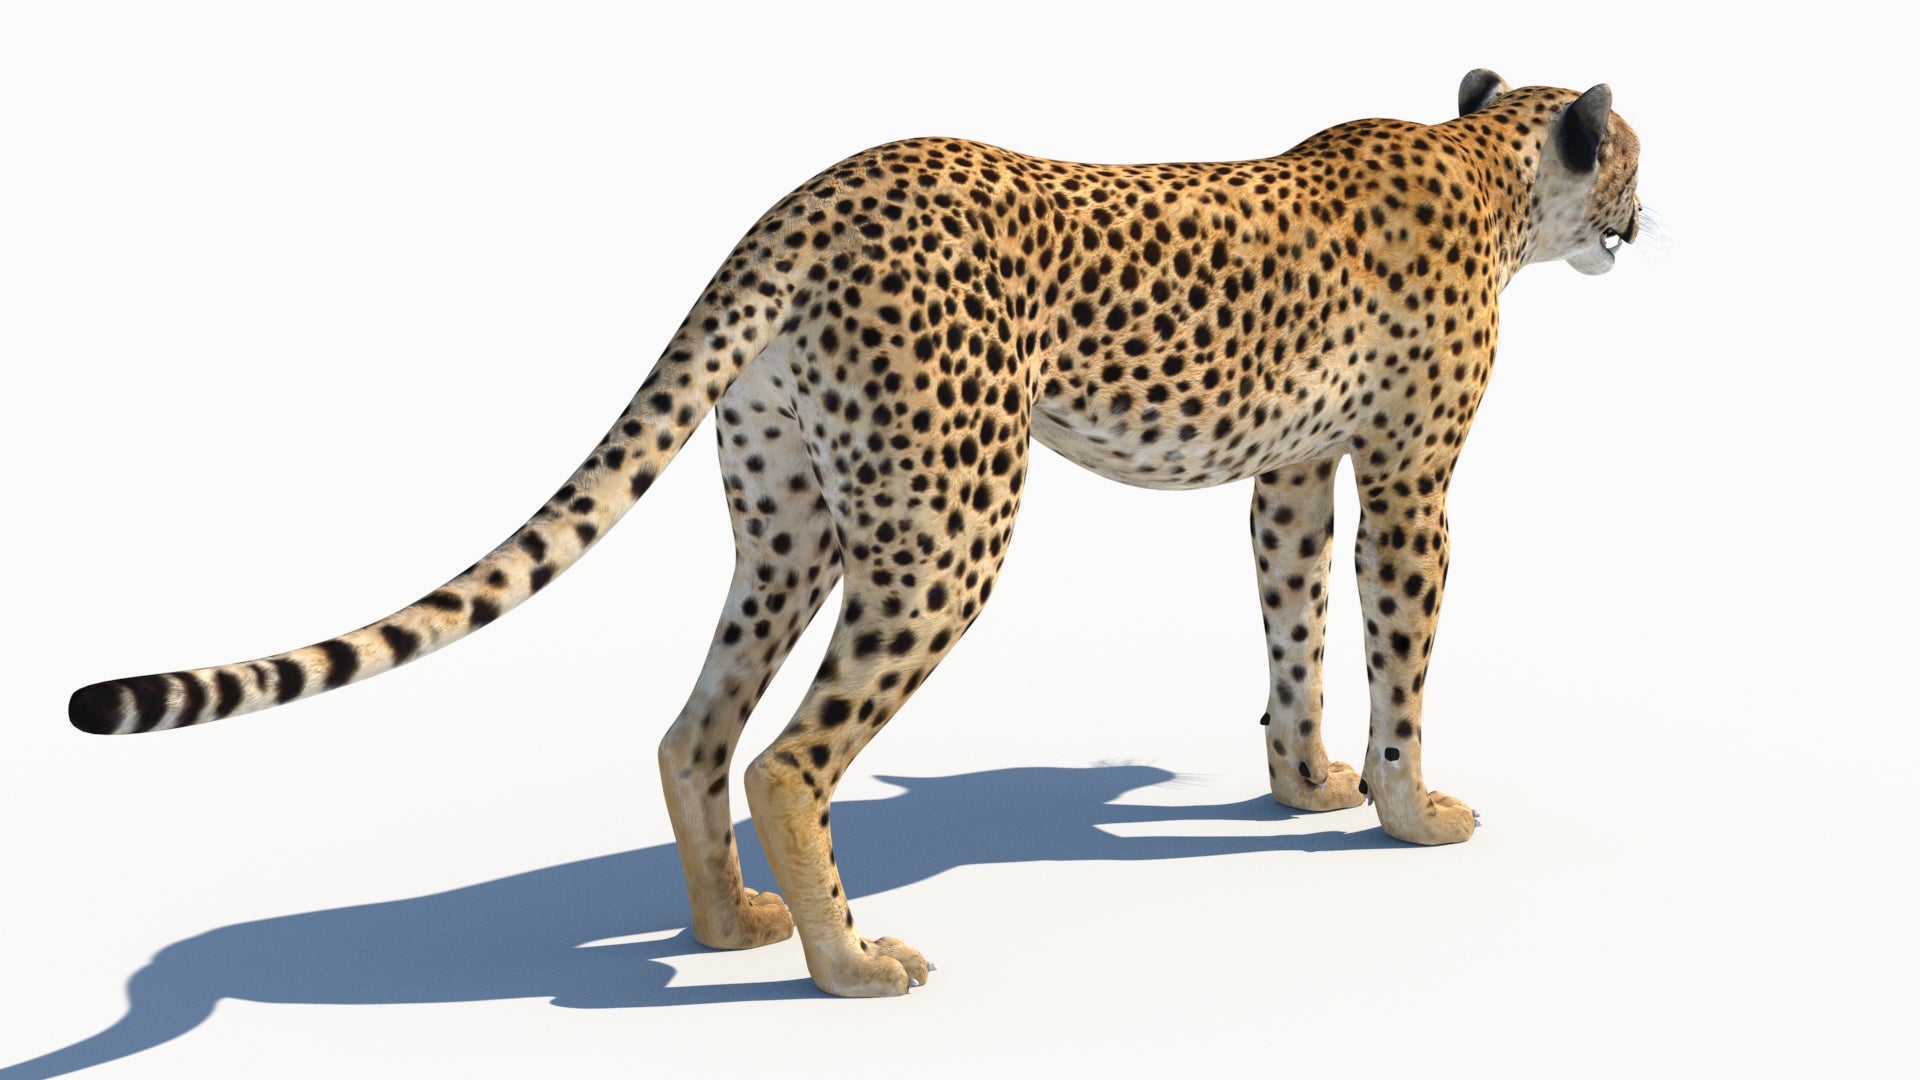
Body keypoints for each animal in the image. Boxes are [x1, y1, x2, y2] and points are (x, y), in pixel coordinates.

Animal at [68, 70, 1644, 998]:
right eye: (1627, 158)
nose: (1642, 219)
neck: (1485, 166)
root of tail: (820, 190)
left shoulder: (1294, 473)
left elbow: (1293, 628)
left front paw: (1304, 785)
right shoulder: (1408, 477)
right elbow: (1398, 655)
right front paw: (1407, 812)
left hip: (794, 518)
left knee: (696, 729)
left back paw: (730, 926)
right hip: (949, 520)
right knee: (787, 754)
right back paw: (845, 960)